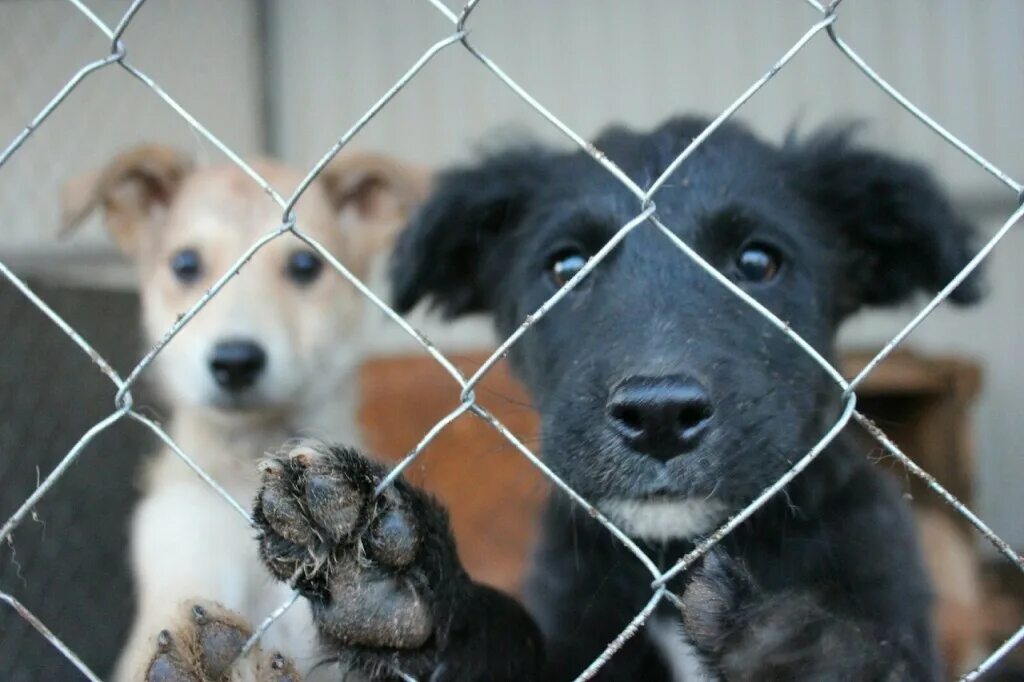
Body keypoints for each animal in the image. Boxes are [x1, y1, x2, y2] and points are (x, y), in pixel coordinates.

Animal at [146, 116, 983, 679]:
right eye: (567, 265)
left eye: (758, 262)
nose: (659, 417)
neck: (670, 562)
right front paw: (391, 584)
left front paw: (798, 648)